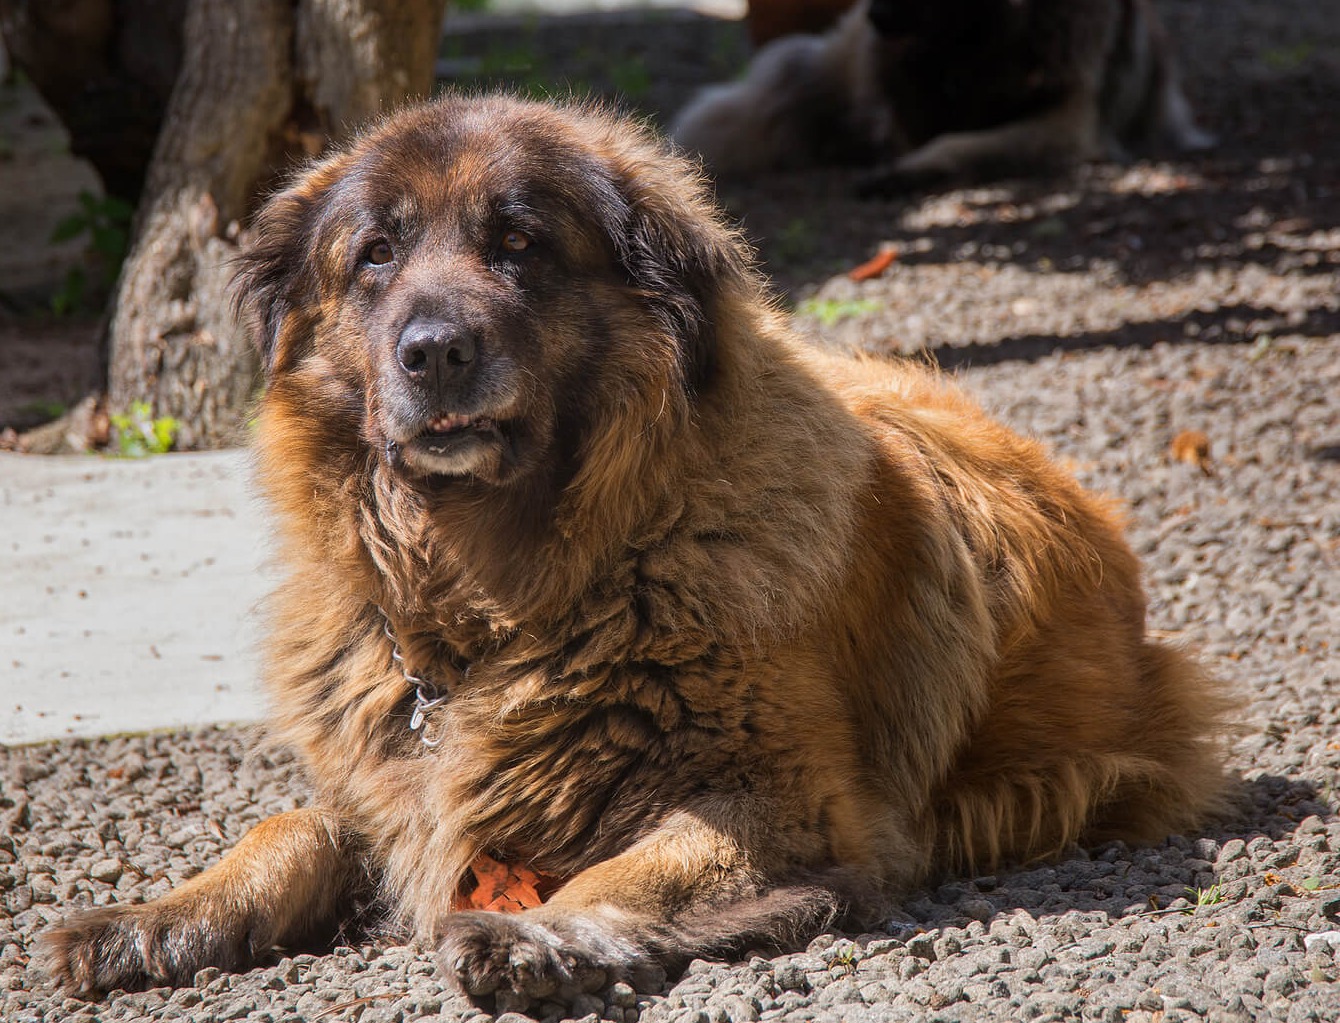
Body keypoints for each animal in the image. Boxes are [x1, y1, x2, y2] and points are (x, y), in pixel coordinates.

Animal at [34, 93, 1227, 1008]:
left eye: (518, 243)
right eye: (374, 255)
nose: (433, 351)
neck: (500, 600)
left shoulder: (791, 807)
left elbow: (636, 868)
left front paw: (533, 934)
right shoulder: (386, 775)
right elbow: (293, 822)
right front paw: (163, 912)